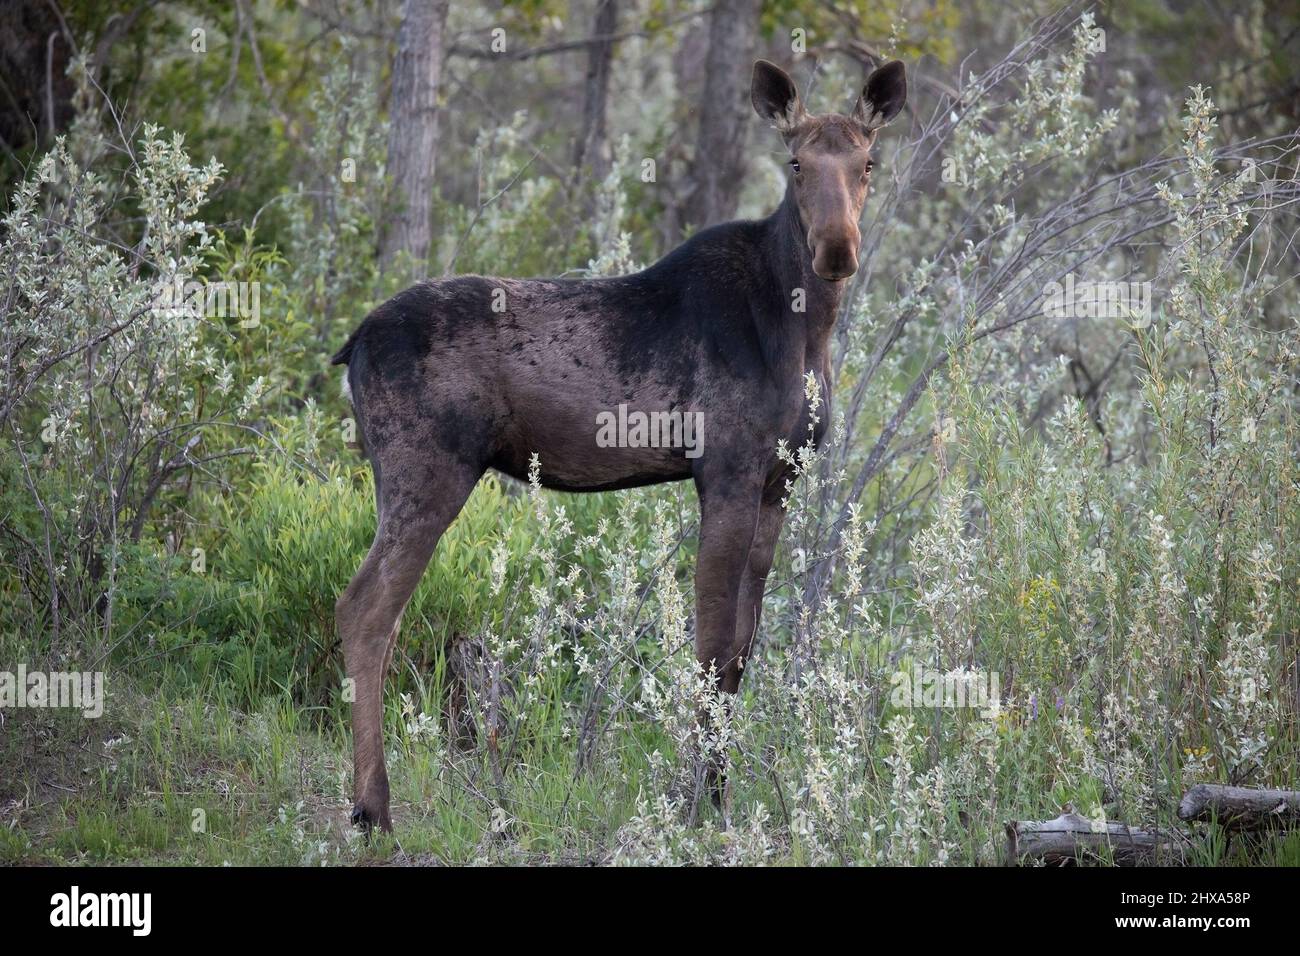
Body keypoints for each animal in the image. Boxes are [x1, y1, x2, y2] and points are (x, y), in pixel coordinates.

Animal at [330, 55, 909, 832]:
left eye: (868, 162)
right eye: (795, 162)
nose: (837, 247)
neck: (805, 330)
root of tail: (352, 345)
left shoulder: (779, 481)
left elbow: (740, 654)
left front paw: (717, 796)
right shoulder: (725, 468)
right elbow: (710, 645)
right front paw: (702, 805)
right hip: (427, 467)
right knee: (366, 610)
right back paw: (373, 808)